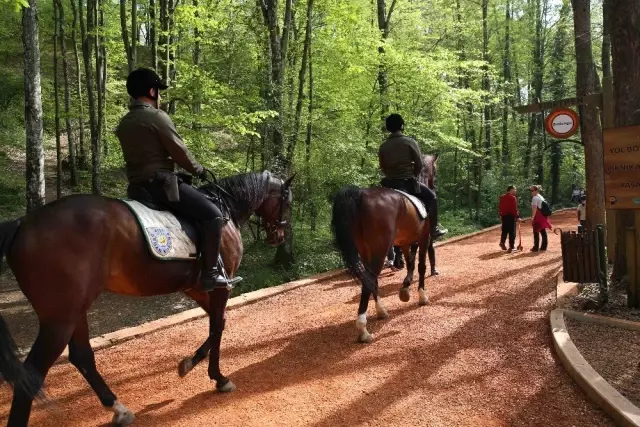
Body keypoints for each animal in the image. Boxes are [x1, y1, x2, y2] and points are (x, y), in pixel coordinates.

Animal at [0, 171, 294, 427]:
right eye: (287, 202)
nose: (279, 236)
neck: (226, 208)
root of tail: (22, 223)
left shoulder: (197, 288)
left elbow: (218, 322)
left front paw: (188, 364)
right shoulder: (221, 286)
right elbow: (218, 326)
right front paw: (218, 378)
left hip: (75, 310)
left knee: (82, 356)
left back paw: (118, 409)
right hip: (60, 318)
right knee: (33, 374)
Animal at [332, 155, 438, 342]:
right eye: (436, 170)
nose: (435, 185)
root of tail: (361, 195)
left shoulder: (404, 242)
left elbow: (410, 264)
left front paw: (405, 289)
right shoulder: (424, 239)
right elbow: (421, 266)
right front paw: (422, 296)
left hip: (367, 250)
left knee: (370, 280)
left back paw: (381, 311)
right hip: (380, 250)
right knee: (370, 280)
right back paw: (363, 330)